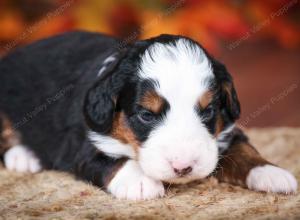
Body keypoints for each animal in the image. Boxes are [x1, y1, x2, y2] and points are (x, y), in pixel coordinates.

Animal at [0, 31, 296, 201]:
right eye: (146, 115)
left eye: (209, 111)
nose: (183, 168)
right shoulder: (81, 142)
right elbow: (109, 159)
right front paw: (140, 181)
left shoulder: (226, 131)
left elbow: (244, 150)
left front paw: (271, 172)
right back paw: (23, 156)